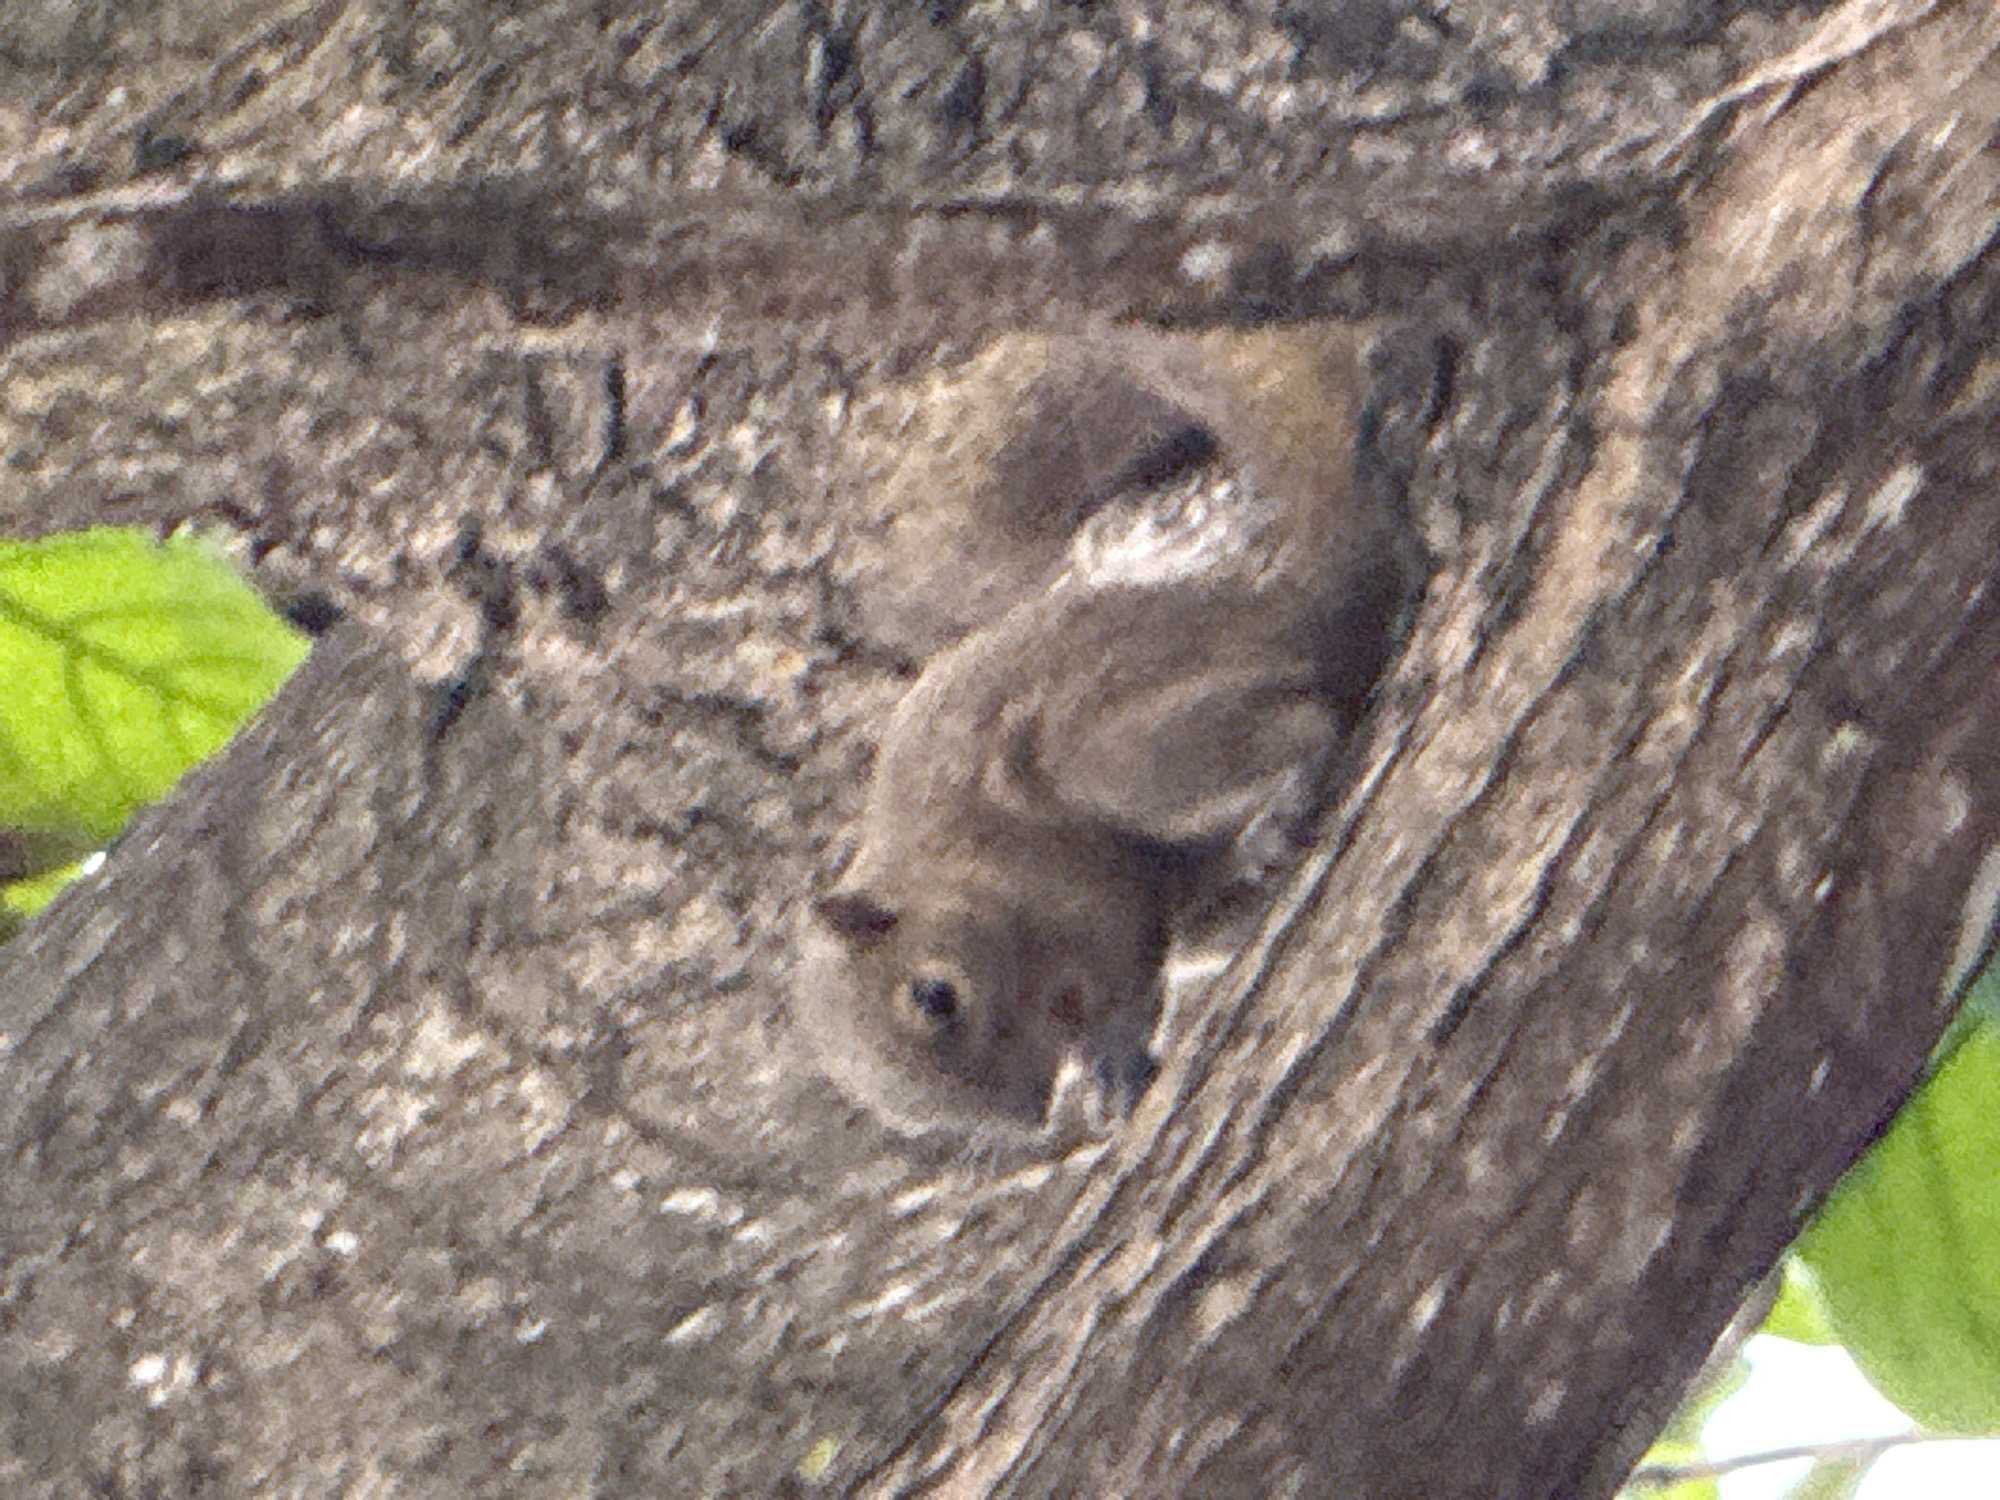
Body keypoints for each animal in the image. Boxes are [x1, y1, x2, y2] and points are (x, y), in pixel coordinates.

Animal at [795, 322, 1409, 1134]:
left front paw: (1112, 1051)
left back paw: (1277, 806)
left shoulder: (1073, 895)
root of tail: (1282, 602)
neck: (959, 878)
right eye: (918, 1120)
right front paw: (1101, 1070)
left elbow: (1124, 967)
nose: (1027, 1117)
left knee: (1303, 723)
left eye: (933, 996)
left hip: (1120, 752)